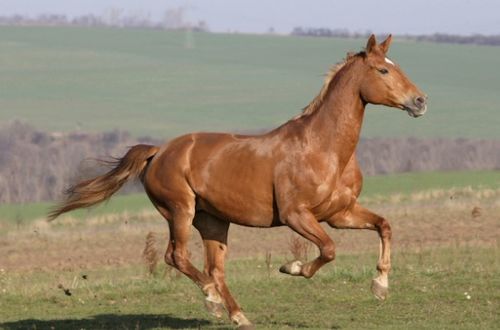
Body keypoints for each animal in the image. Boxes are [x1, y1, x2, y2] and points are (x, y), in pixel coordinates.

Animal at [49, 34, 426, 328]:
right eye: (383, 70)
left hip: (213, 221)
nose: (420, 101)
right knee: (177, 257)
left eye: (397, 65)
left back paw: (237, 315)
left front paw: (380, 285)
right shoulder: (296, 216)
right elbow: (329, 250)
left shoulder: (340, 213)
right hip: (180, 211)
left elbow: (384, 226)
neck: (324, 149)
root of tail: (159, 151)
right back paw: (213, 301)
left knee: (214, 269)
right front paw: (291, 267)